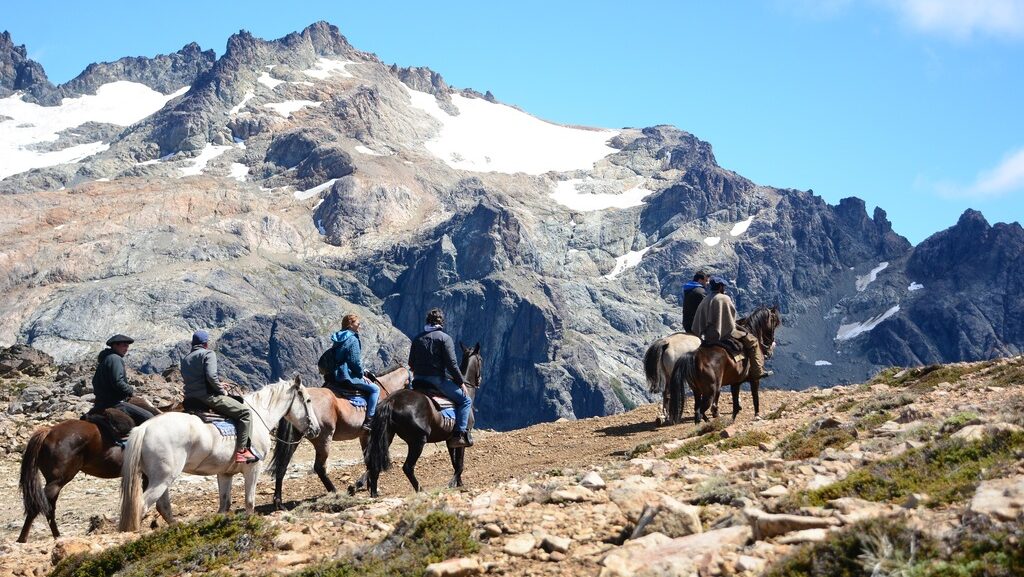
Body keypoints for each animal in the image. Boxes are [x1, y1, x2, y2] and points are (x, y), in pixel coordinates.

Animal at [16, 397, 161, 541]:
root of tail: (48, 432)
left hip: (54, 482)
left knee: (48, 507)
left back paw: (55, 536)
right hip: (57, 481)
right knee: (39, 505)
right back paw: (23, 539)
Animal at [117, 375, 315, 532]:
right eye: (308, 400)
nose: (316, 428)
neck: (258, 418)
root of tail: (144, 428)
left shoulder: (225, 473)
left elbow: (224, 505)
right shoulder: (253, 468)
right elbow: (249, 501)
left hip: (158, 478)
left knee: (163, 506)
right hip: (162, 479)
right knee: (142, 506)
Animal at [274, 364, 417, 506]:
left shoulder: (364, 436)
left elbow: (368, 459)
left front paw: (368, 485)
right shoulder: (381, 435)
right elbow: (372, 459)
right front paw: (356, 486)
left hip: (295, 439)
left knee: (282, 464)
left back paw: (278, 501)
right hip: (323, 440)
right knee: (319, 468)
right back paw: (335, 492)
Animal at [366, 342, 481, 496]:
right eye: (481, 359)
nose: (480, 381)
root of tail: (392, 401)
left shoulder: (450, 440)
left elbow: (455, 463)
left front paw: (459, 483)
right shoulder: (462, 438)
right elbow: (460, 464)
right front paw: (453, 483)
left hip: (387, 436)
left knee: (375, 463)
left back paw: (374, 493)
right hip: (418, 441)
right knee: (408, 467)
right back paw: (420, 490)